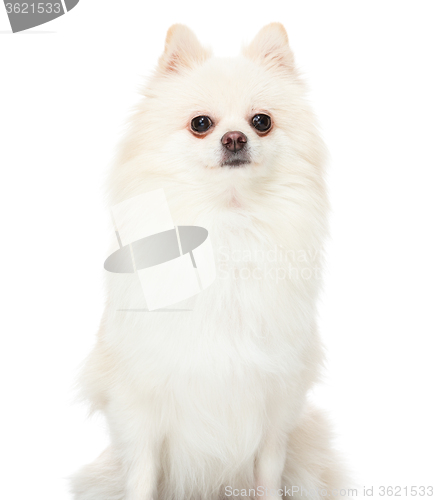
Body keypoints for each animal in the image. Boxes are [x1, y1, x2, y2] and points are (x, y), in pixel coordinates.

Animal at [71, 23, 350, 500]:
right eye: (201, 124)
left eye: (261, 122)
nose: (234, 138)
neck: (226, 222)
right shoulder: (139, 402)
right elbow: (142, 473)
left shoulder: (275, 401)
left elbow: (268, 471)